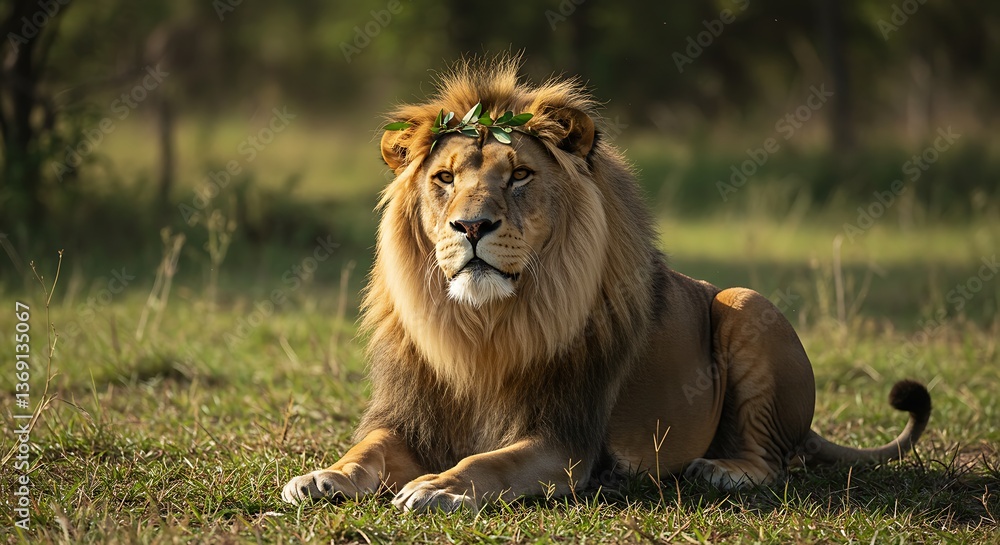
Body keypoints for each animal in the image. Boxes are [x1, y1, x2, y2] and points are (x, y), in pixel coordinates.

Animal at [281, 59, 931, 513]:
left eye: (519, 175)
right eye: (444, 178)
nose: (471, 226)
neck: (482, 326)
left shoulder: (565, 441)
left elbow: (485, 464)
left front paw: (438, 486)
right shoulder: (406, 417)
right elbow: (365, 449)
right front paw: (323, 476)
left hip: (747, 302)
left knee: (774, 459)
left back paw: (723, 469)